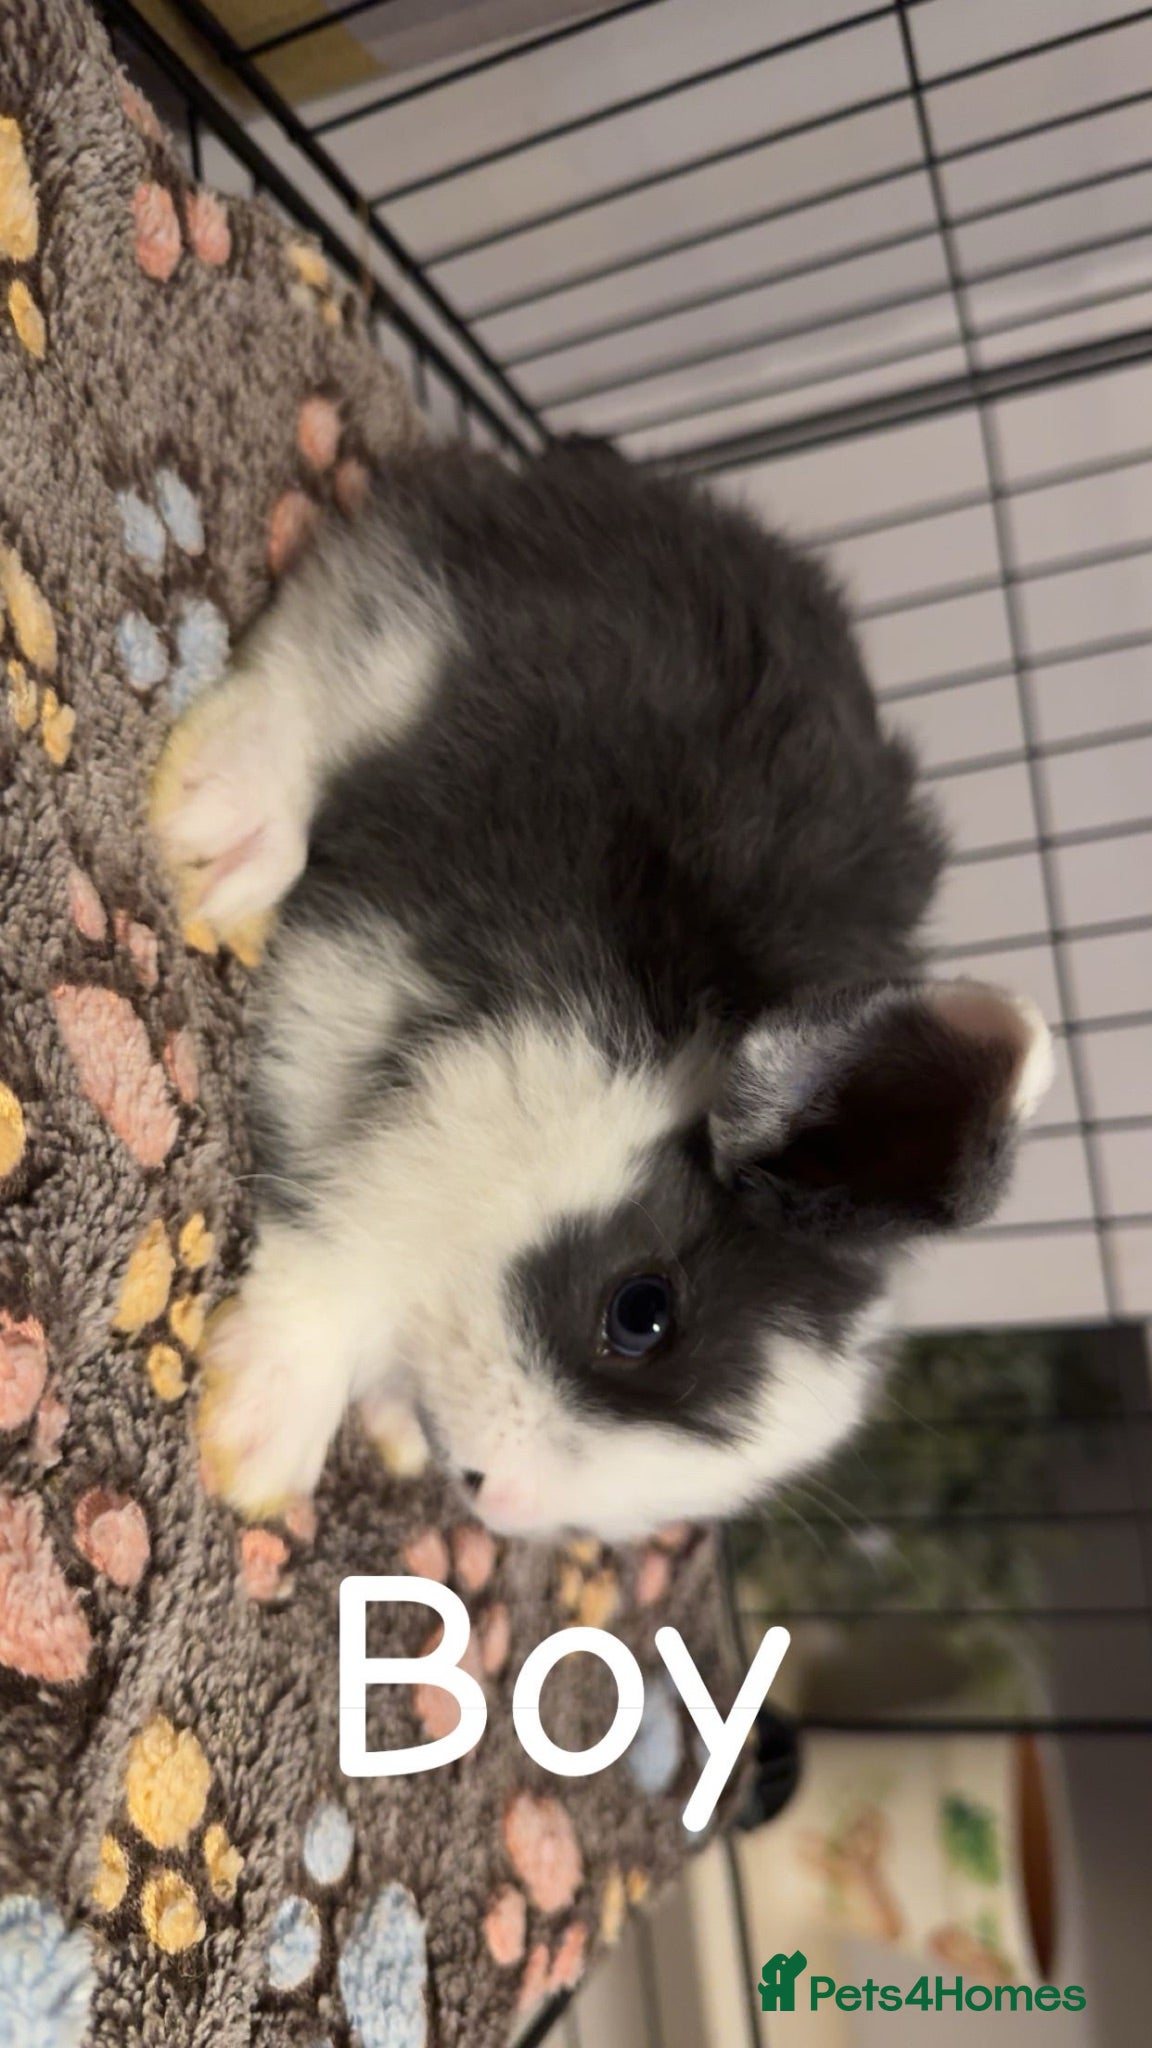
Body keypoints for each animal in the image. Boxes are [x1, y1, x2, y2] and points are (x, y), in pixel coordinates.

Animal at [153, 439, 1051, 1540]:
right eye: (640, 1312)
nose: (499, 1495)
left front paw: (383, 1424)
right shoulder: (416, 1067)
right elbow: (344, 1244)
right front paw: (258, 1444)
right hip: (427, 637)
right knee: (311, 677)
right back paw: (221, 832)